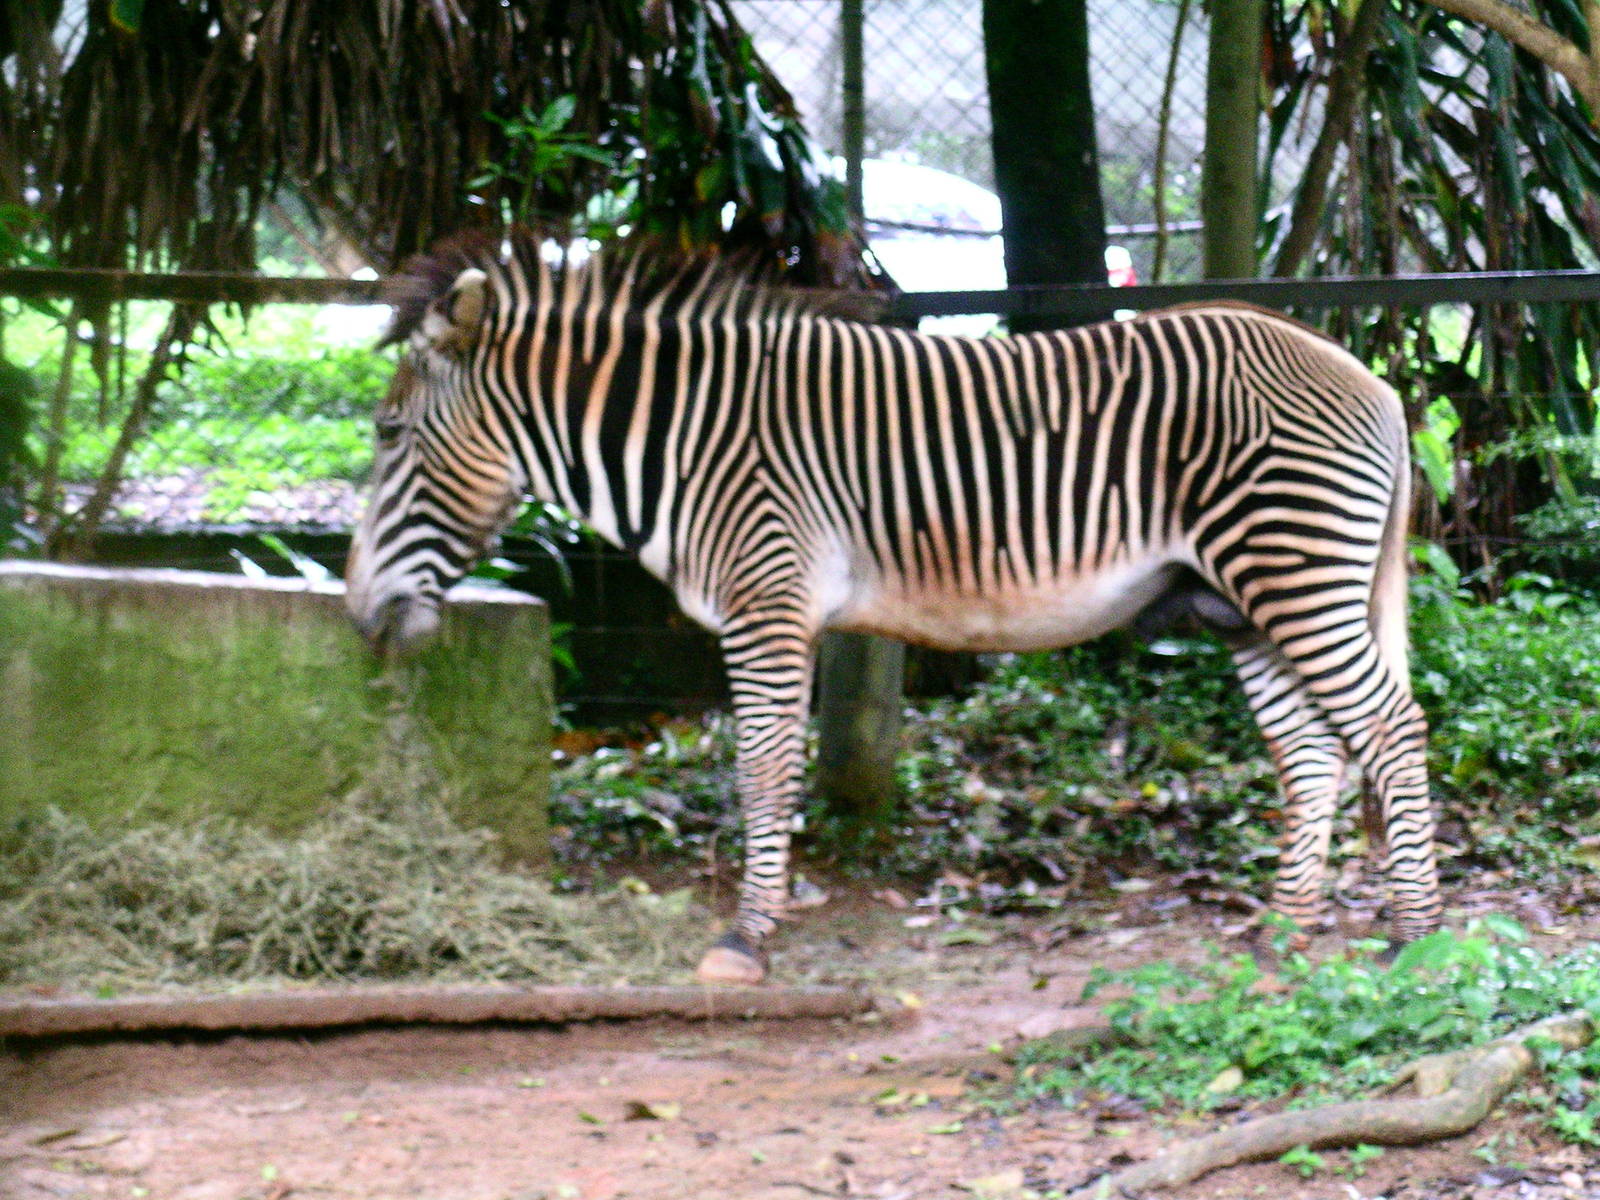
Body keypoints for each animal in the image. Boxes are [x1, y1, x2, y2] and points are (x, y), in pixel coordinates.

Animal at [344, 235, 1443, 985]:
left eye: (389, 433)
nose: (359, 617)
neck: (685, 437)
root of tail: (1364, 375)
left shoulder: (767, 600)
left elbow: (762, 771)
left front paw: (747, 936)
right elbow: (774, 771)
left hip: (1294, 569)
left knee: (1392, 727)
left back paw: (1420, 935)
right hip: (1243, 600)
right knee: (1313, 754)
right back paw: (1288, 927)